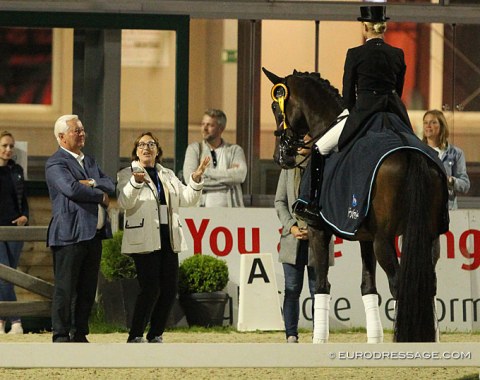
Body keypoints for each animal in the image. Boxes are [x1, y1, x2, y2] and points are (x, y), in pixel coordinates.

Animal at [262, 67, 446, 342]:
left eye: (275, 106)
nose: (280, 156)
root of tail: (412, 154)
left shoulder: (318, 229)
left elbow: (321, 285)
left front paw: (318, 339)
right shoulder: (364, 236)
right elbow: (368, 287)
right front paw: (374, 339)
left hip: (385, 240)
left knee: (399, 285)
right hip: (428, 237)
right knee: (428, 285)